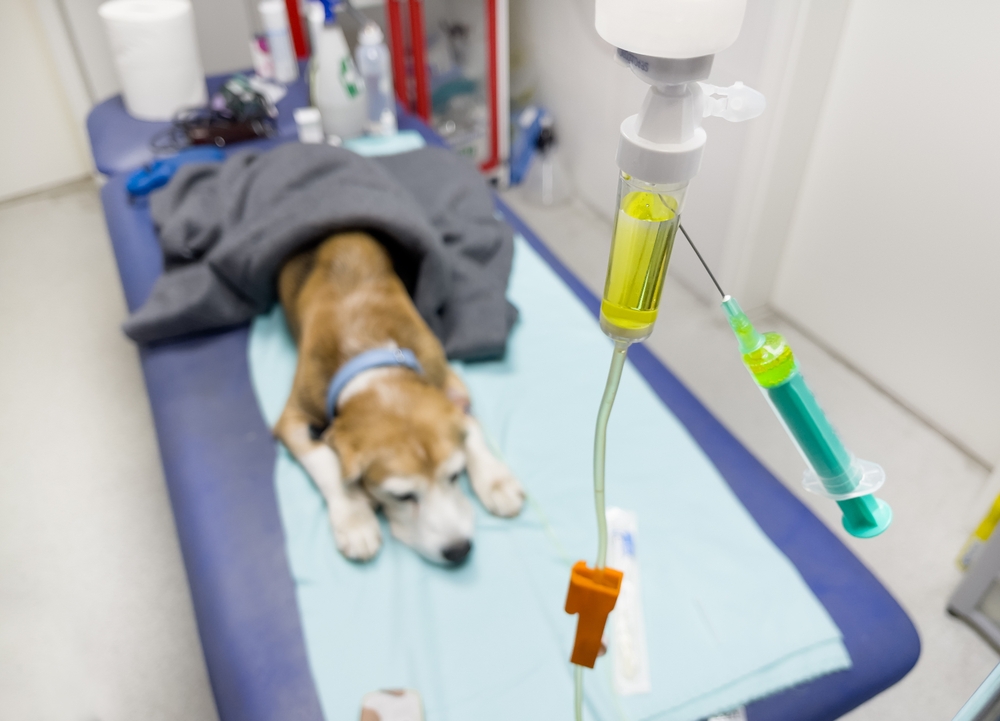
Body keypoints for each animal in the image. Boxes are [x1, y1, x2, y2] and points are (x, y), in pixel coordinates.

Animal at [274, 231, 524, 564]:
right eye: (401, 496)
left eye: (455, 476)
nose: (459, 551)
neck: (375, 368)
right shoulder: (293, 417)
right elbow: (325, 464)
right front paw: (355, 518)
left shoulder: (449, 381)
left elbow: (470, 428)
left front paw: (495, 480)